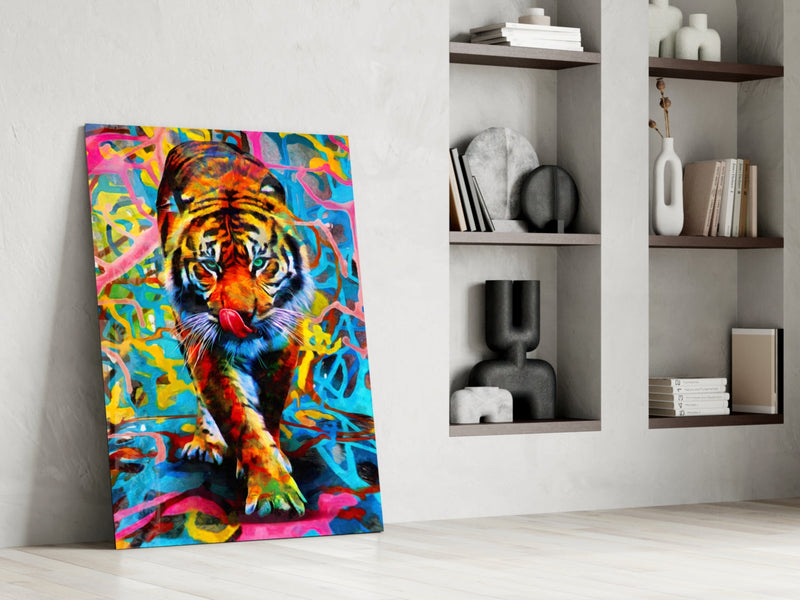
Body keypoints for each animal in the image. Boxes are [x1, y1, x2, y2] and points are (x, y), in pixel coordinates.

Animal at [156, 140, 313, 517]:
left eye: (260, 263)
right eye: (209, 266)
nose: (240, 315)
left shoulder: (283, 346)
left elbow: (269, 408)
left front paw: (277, 461)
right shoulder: (206, 349)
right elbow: (241, 420)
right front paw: (274, 494)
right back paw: (206, 442)